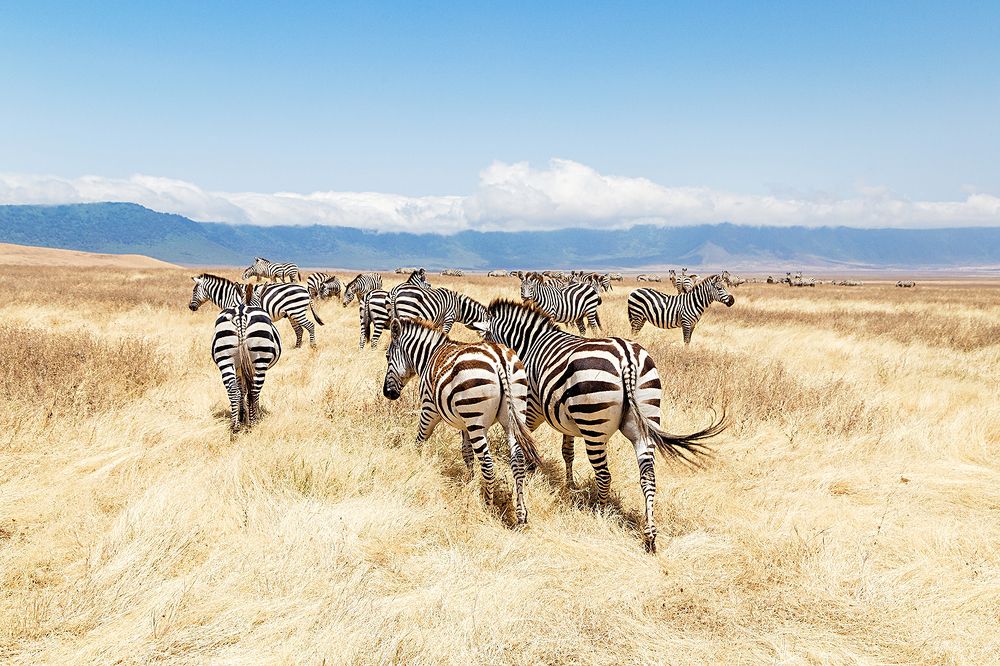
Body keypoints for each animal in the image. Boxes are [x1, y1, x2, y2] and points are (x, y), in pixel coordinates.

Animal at [189, 274, 324, 348]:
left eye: (194, 291)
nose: (191, 307)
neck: (229, 295)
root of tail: (305, 290)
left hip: (297, 311)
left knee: (310, 326)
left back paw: (313, 346)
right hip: (291, 314)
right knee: (299, 330)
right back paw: (297, 347)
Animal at [211, 286, 282, 433]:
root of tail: (241, 313)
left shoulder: (239, 368)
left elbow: (241, 389)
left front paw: (242, 415)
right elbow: (248, 390)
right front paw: (251, 415)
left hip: (225, 358)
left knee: (232, 390)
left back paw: (235, 426)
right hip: (260, 359)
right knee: (254, 390)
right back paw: (253, 422)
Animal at [382, 318, 540, 524]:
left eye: (387, 356)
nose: (387, 393)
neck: (428, 356)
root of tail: (499, 358)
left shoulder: (429, 408)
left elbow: (420, 439)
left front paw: (415, 463)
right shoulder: (464, 423)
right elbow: (467, 453)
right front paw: (469, 481)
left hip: (476, 420)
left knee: (488, 464)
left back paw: (487, 507)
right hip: (514, 413)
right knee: (518, 460)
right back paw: (521, 513)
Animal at [472, 300, 726, 552]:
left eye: (485, 339)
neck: (531, 343)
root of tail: (627, 358)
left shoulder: (534, 406)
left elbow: (528, 440)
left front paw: (538, 470)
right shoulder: (564, 418)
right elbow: (567, 452)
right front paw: (569, 485)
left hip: (593, 424)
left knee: (604, 475)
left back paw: (600, 513)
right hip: (645, 419)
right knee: (648, 476)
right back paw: (650, 535)